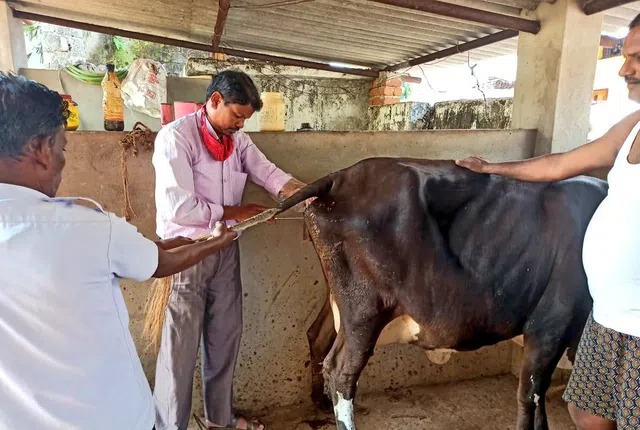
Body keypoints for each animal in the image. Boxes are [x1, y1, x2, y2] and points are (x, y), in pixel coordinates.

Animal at [278, 159, 608, 430]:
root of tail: (340, 177)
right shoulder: (550, 326)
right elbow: (531, 397)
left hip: (340, 304)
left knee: (317, 337)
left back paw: (320, 403)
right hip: (364, 311)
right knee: (342, 371)